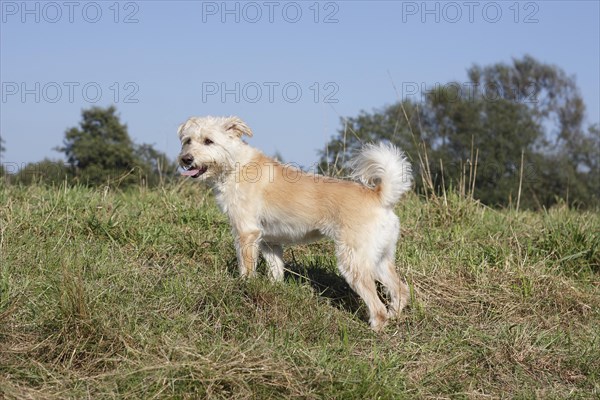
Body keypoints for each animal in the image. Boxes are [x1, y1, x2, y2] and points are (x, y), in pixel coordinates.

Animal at [178, 116, 412, 332]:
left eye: (208, 141)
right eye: (187, 140)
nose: (186, 159)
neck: (235, 165)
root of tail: (379, 196)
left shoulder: (246, 233)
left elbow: (246, 268)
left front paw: (243, 288)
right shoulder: (270, 243)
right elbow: (276, 272)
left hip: (354, 260)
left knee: (378, 307)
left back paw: (375, 328)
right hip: (379, 259)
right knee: (400, 289)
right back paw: (395, 317)